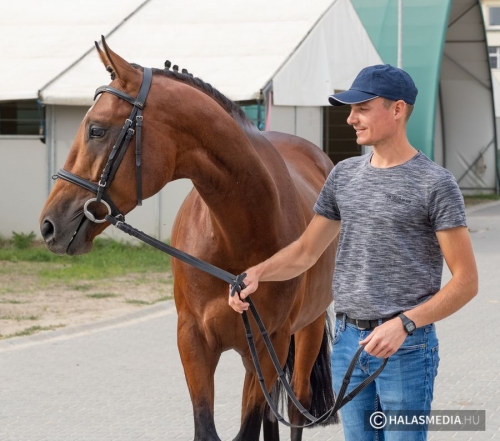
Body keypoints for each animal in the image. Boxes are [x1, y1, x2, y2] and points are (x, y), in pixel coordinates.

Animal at [39, 37, 338, 441]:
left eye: (96, 130)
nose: (48, 225)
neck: (236, 236)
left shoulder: (269, 343)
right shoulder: (192, 339)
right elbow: (206, 428)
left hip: (307, 331)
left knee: (295, 406)